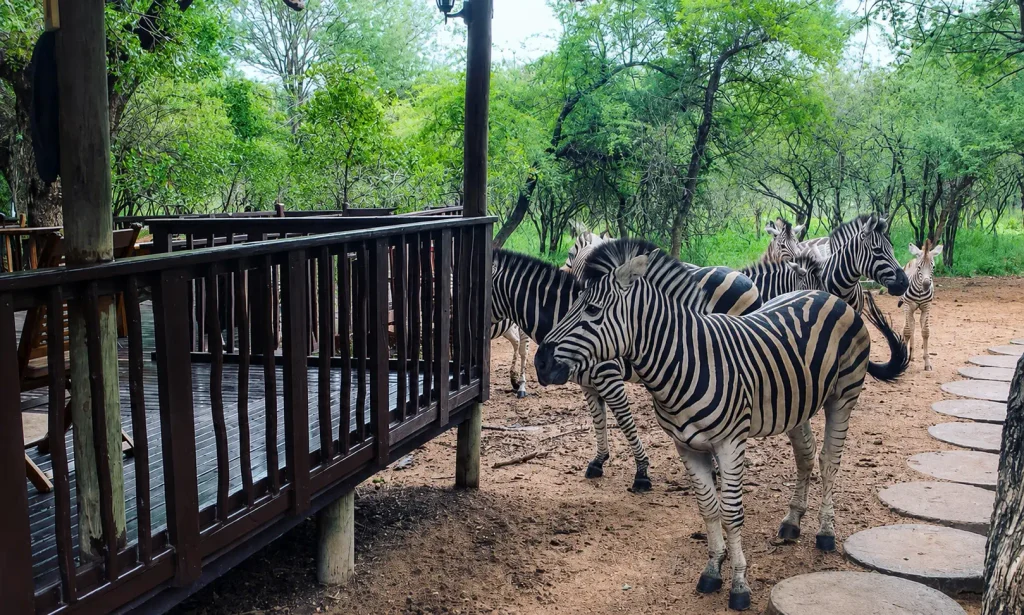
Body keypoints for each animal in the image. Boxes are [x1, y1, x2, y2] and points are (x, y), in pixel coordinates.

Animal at [492, 247, 761, 492]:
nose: (541, 364)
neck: (561, 312)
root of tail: (746, 278)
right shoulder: (587, 383)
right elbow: (598, 419)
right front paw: (599, 461)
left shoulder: (608, 376)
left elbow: (624, 421)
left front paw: (641, 472)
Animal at [533, 239, 909, 611]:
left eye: (592, 310)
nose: (540, 363)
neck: (684, 361)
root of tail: (824, 294)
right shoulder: (686, 446)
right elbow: (708, 509)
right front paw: (713, 569)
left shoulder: (729, 443)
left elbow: (731, 512)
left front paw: (739, 585)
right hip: (796, 403)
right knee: (806, 455)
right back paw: (792, 522)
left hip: (843, 396)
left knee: (829, 462)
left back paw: (825, 532)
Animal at [899, 239, 943, 371]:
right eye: (919, 267)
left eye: (933, 267)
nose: (926, 285)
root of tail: (914, 257)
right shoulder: (908, 305)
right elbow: (907, 331)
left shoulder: (927, 307)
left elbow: (926, 332)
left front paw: (927, 363)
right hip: (906, 306)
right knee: (909, 327)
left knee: (913, 325)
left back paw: (912, 356)